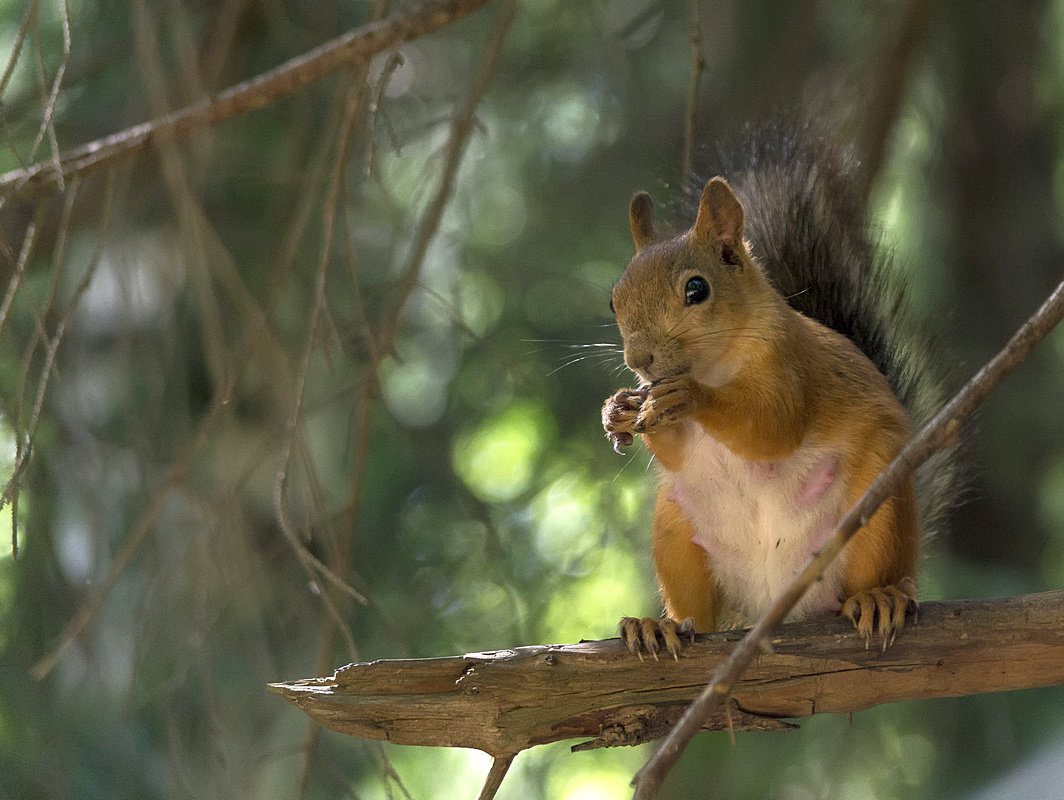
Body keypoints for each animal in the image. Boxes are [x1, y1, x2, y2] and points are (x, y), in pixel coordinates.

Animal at [604, 129, 953, 655]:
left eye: (697, 289)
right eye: (614, 300)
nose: (638, 360)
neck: (715, 365)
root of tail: (774, 605)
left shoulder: (794, 369)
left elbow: (772, 427)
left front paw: (688, 396)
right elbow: (676, 451)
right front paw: (619, 409)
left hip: (880, 506)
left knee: (876, 576)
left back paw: (881, 596)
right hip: (675, 528)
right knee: (697, 615)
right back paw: (659, 626)